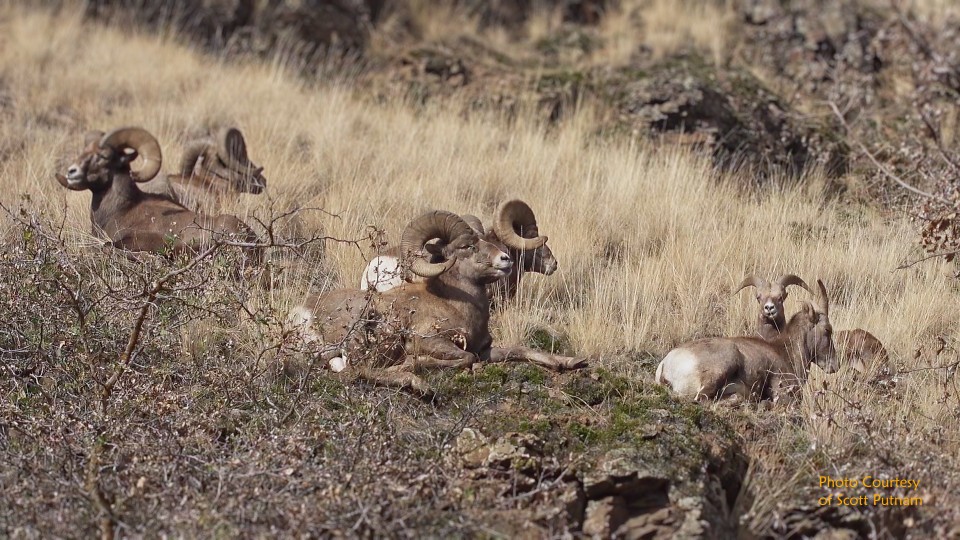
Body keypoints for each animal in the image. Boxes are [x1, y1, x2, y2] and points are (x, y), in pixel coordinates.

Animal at [292, 210, 585, 392]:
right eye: (467, 247)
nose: (505, 260)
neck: (458, 305)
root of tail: (305, 313)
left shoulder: (487, 349)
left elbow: (520, 350)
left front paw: (571, 362)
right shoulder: (432, 341)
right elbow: (466, 358)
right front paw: (414, 364)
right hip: (377, 339)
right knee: (357, 370)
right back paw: (417, 384)